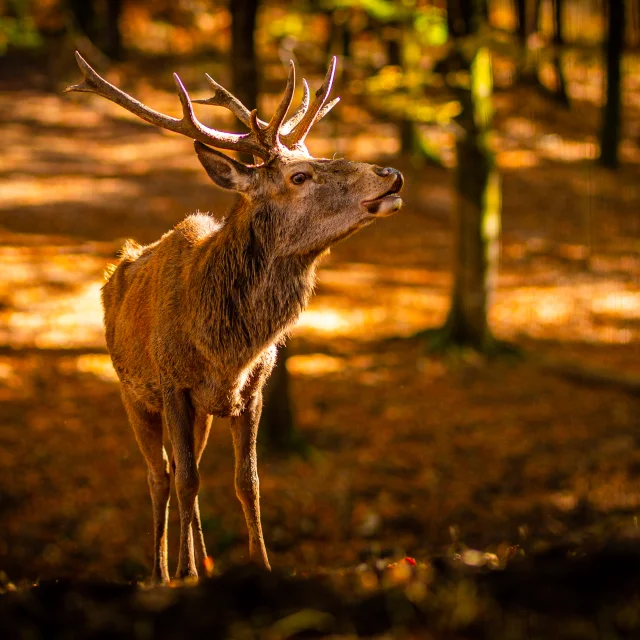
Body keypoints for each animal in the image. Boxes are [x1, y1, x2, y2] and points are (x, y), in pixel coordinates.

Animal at [66, 52, 404, 584]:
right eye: (300, 176)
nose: (390, 173)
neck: (225, 347)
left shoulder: (252, 391)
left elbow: (247, 482)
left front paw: (258, 565)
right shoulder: (172, 383)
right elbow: (185, 481)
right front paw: (189, 574)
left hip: (200, 411)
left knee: (184, 472)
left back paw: (196, 562)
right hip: (132, 394)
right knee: (160, 476)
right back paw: (164, 572)